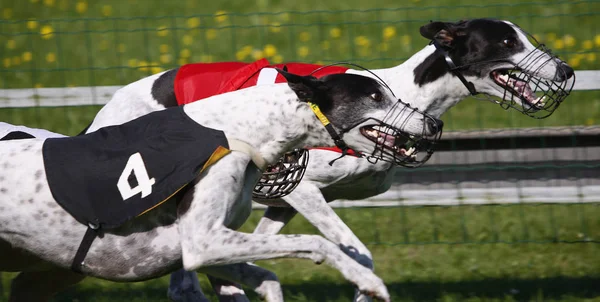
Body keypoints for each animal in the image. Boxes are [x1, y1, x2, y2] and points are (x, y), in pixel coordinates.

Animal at [0, 69, 438, 302]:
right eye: (374, 95)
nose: (434, 124)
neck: (239, 126)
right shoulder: (201, 241)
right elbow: (318, 243)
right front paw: (367, 281)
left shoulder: (203, 249)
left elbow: (267, 277)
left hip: (47, 274)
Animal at [77, 18, 576, 302]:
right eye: (507, 42)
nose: (567, 70)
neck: (408, 98)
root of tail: (101, 116)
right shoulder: (304, 190)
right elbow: (362, 256)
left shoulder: (282, 204)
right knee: (182, 284)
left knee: (184, 281)